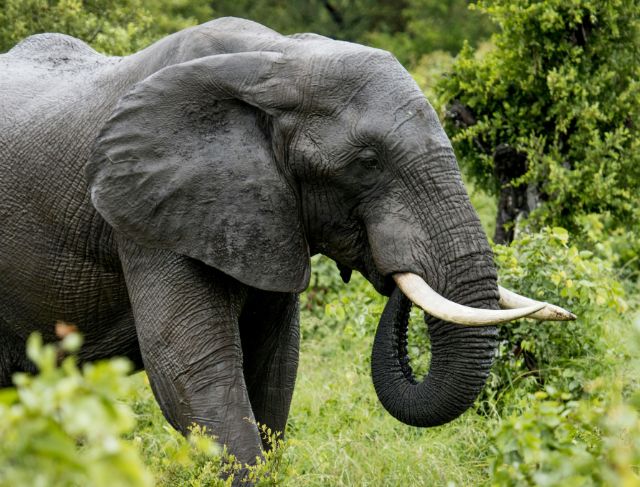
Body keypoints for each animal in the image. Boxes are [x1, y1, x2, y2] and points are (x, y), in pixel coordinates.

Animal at [0, 17, 575, 472]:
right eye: (368, 163)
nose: (392, 268)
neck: (277, 60)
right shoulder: (145, 213)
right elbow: (189, 364)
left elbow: (276, 364)